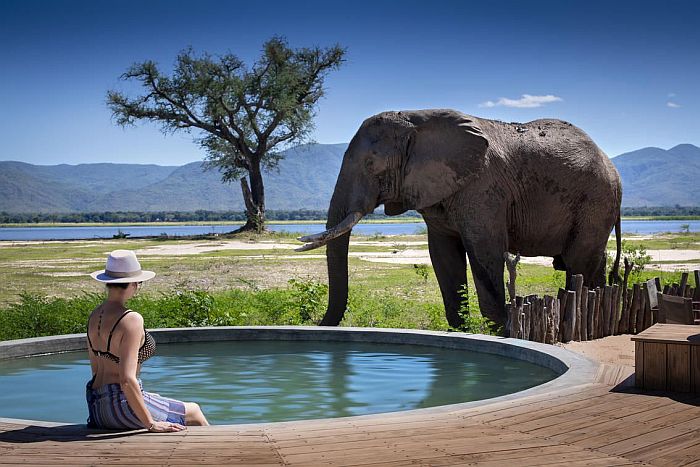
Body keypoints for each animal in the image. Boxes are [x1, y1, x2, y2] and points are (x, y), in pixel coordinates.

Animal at [298, 109, 620, 330]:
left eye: (370, 164)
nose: (319, 325)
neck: (418, 120)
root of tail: (611, 166)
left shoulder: (483, 188)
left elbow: (484, 252)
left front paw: (501, 333)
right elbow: (443, 257)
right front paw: (462, 331)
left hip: (596, 199)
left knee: (578, 261)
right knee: (590, 261)